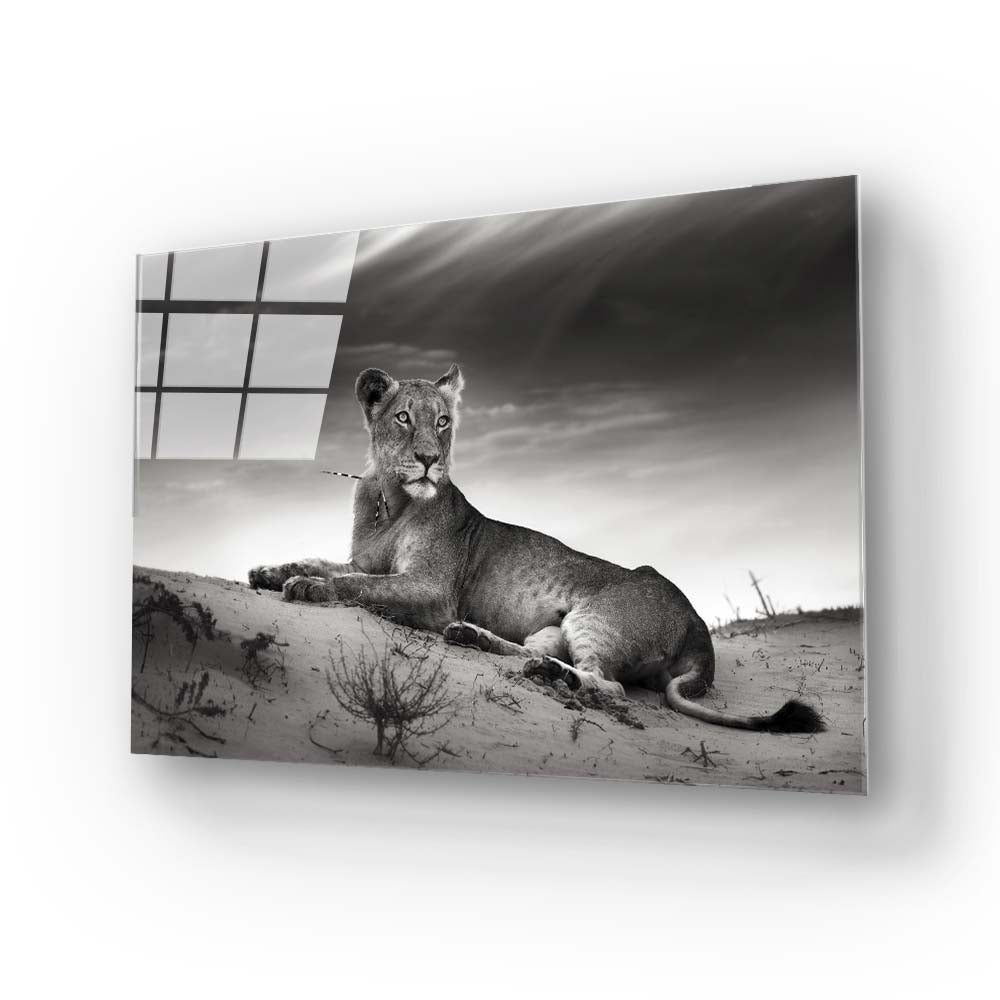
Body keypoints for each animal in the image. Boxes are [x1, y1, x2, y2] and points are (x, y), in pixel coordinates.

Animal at [248, 364, 823, 733]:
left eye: (443, 422)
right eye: (403, 417)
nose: (430, 459)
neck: (390, 499)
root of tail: (700, 626)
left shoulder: (432, 591)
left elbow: (356, 584)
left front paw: (306, 587)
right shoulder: (365, 559)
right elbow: (328, 563)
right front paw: (270, 571)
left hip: (595, 619)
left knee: (607, 686)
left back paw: (546, 673)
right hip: (553, 627)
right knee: (531, 651)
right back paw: (476, 639)